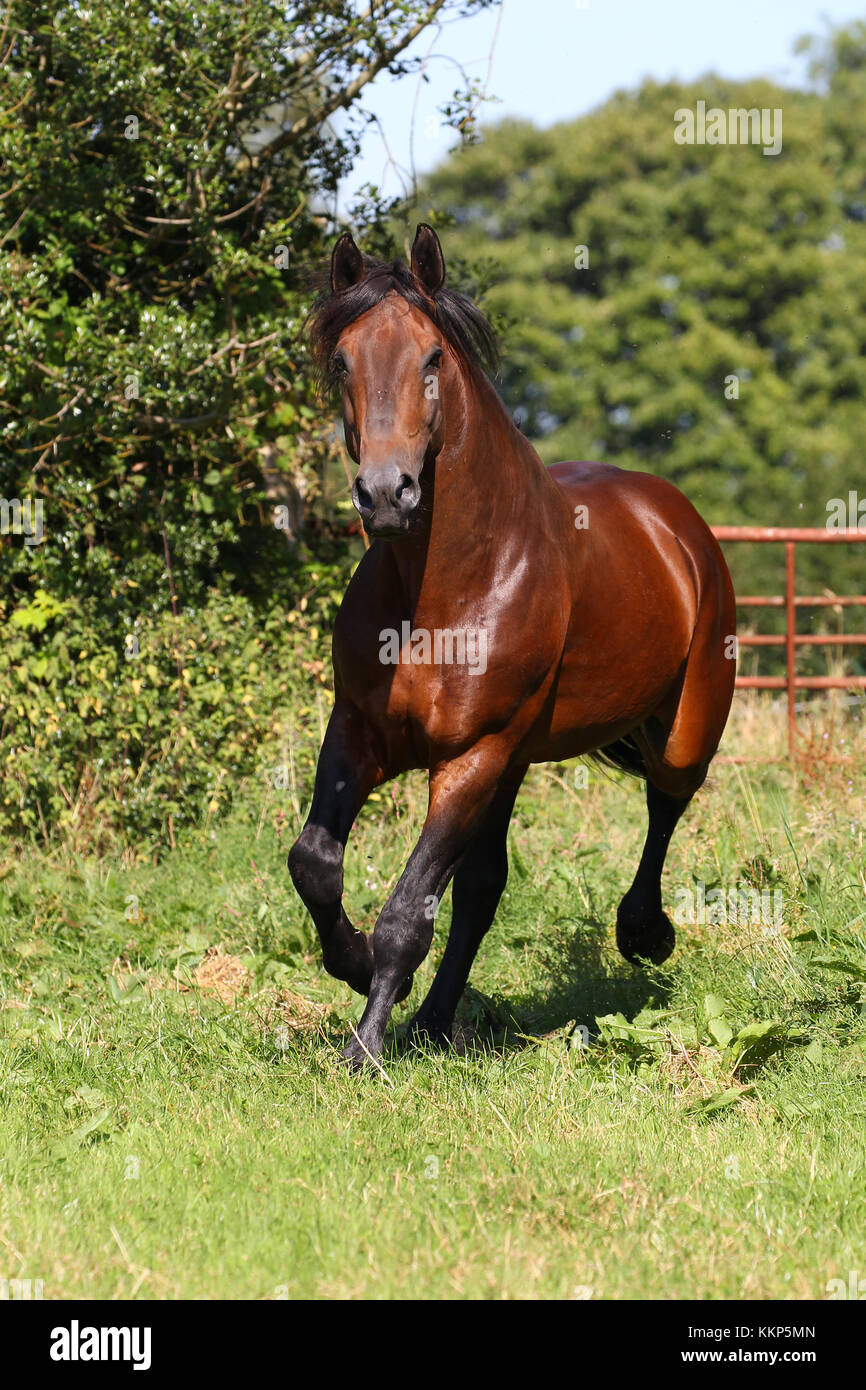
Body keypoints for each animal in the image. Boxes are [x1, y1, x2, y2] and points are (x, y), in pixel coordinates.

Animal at [289, 224, 736, 1069]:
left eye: (432, 358)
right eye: (342, 362)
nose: (386, 494)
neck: (444, 591)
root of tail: (675, 522)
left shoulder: (472, 756)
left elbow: (408, 911)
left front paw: (365, 1048)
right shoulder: (358, 732)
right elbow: (316, 864)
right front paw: (354, 963)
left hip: (678, 732)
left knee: (666, 799)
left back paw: (644, 932)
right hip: (517, 763)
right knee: (482, 888)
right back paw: (434, 1021)